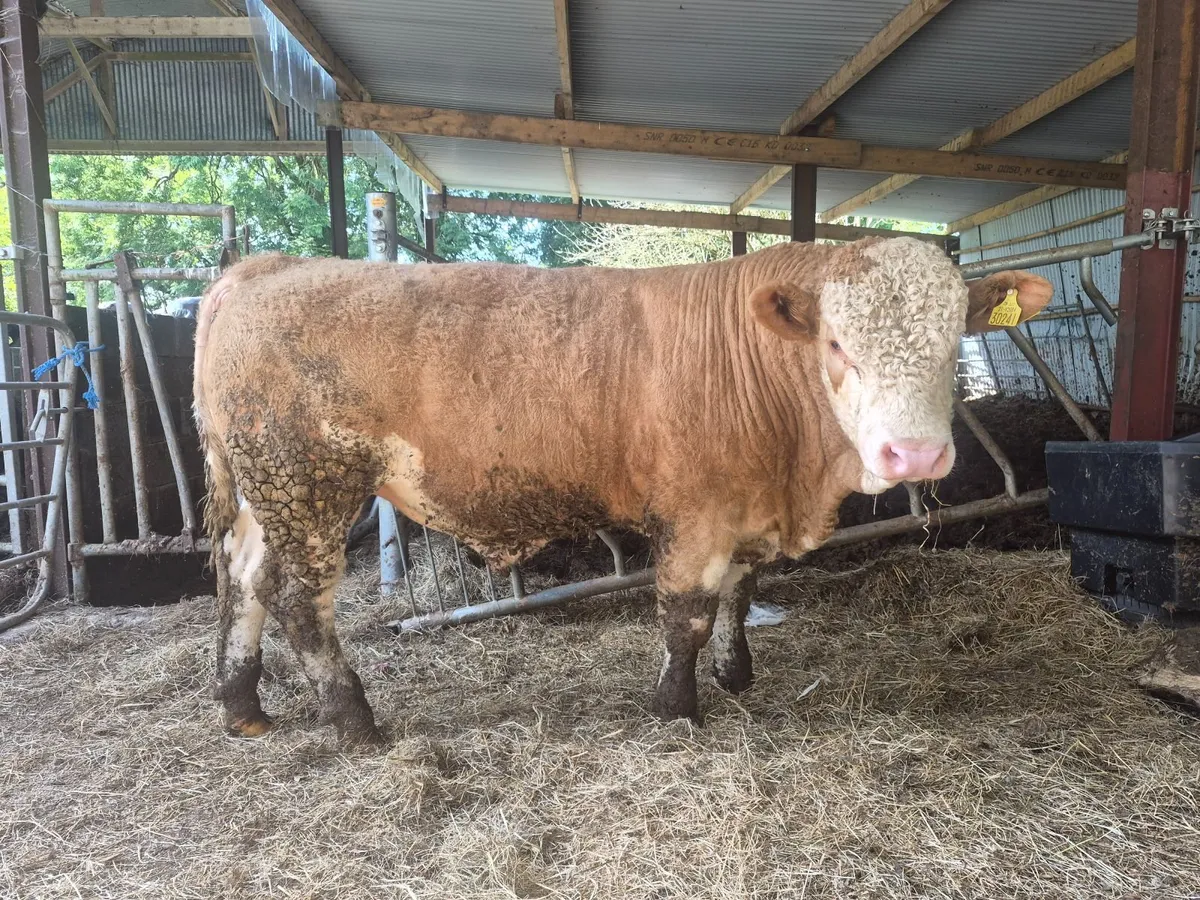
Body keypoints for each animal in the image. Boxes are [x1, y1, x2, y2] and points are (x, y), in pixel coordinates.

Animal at [193, 238, 1052, 746]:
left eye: (957, 338)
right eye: (837, 344)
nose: (916, 454)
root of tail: (267, 267)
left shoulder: (744, 507)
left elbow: (741, 592)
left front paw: (736, 675)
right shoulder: (696, 512)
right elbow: (688, 614)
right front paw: (677, 709)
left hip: (267, 492)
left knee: (245, 581)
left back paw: (243, 706)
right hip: (309, 480)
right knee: (298, 599)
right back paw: (354, 719)